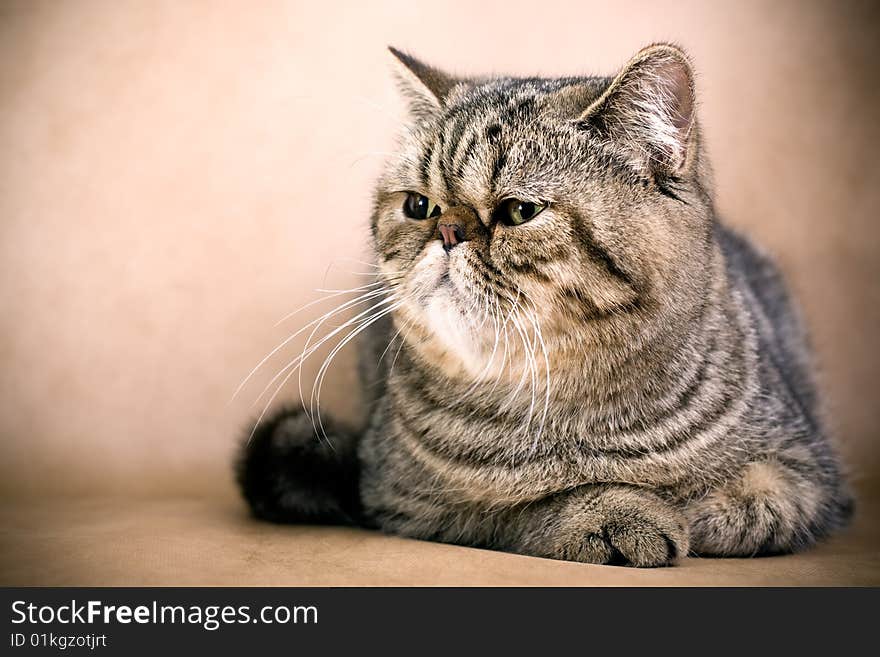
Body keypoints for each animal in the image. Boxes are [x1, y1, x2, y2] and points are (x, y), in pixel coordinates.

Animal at [234, 43, 852, 564]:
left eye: (519, 212)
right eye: (418, 206)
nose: (448, 231)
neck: (575, 416)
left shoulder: (813, 471)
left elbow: (761, 503)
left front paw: (697, 510)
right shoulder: (401, 499)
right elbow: (518, 509)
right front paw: (616, 514)